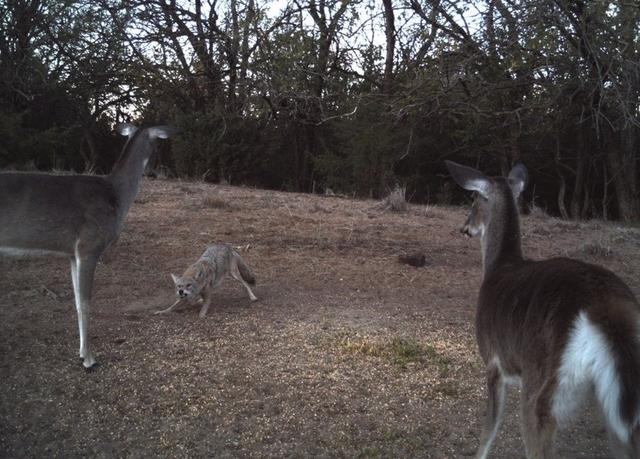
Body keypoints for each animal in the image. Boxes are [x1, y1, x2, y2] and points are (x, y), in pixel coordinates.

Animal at [0, 124, 175, 372]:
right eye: (158, 146)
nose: (157, 172)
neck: (116, 196)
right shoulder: (89, 246)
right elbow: (85, 303)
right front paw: (89, 359)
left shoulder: (73, 254)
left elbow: (75, 301)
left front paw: (83, 353)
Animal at [444, 160, 640, 458]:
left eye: (474, 200)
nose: (464, 228)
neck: (498, 267)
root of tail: (604, 306)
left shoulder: (494, 360)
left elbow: (488, 431)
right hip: (617, 405)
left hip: (542, 385)